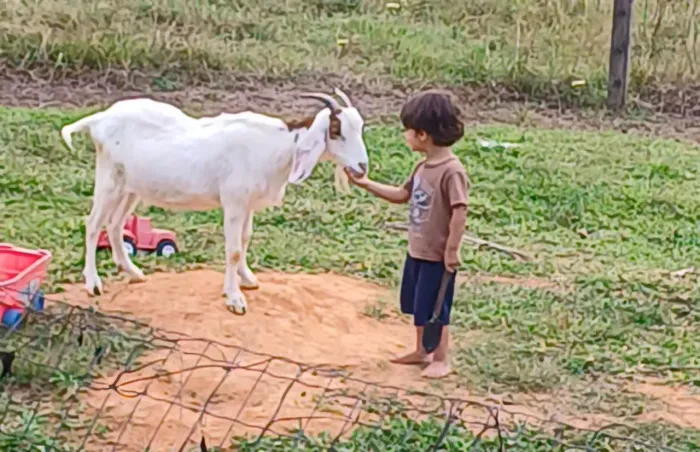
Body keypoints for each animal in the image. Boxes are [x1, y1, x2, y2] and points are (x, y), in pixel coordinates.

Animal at [60, 89, 368, 315]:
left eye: (360, 127)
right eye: (337, 130)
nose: (362, 167)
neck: (275, 148)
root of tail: (98, 119)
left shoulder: (247, 204)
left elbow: (245, 239)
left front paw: (248, 279)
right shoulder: (233, 202)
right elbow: (233, 250)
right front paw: (234, 299)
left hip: (131, 186)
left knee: (114, 224)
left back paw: (133, 272)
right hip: (110, 178)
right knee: (93, 224)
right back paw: (93, 284)